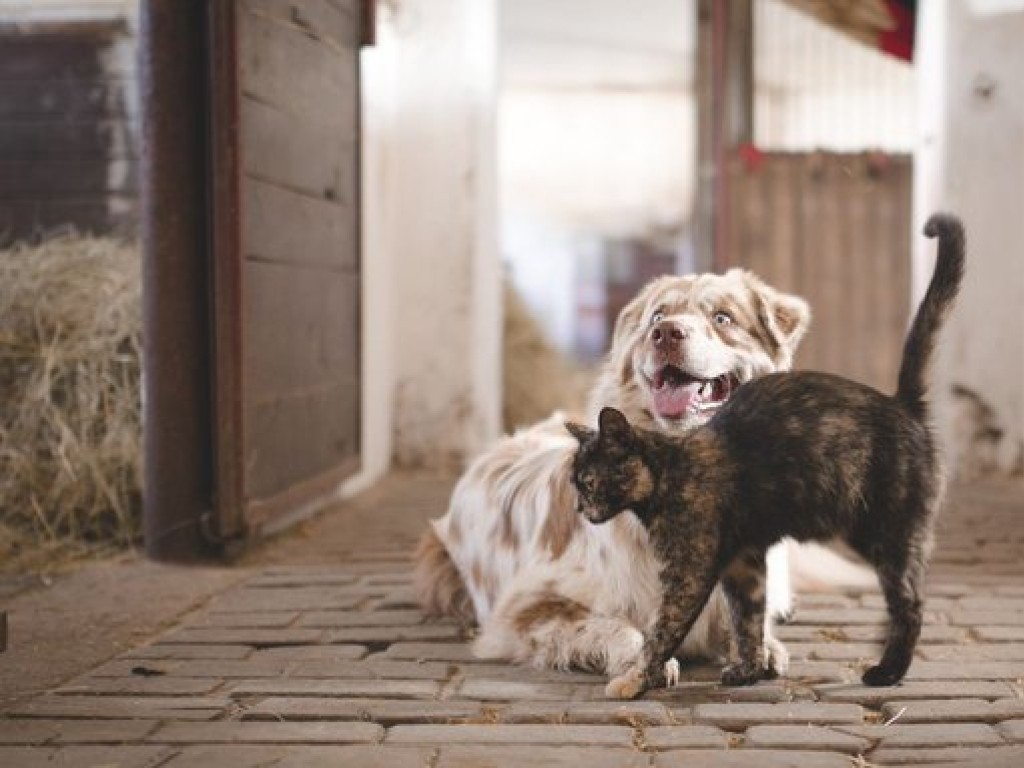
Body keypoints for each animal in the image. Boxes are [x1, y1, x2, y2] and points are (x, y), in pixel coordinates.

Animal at [413, 268, 815, 675]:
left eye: (723, 318)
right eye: (657, 316)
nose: (666, 333)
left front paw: (760, 647)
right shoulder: (524, 608)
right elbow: (617, 628)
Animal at [573, 214, 962, 700]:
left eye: (589, 481)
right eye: (656, 317)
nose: (580, 508)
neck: (671, 469)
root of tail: (902, 404)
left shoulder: (690, 572)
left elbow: (661, 631)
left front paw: (634, 680)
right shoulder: (744, 562)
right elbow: (748, 619)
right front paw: (749, 669)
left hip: (886, 533)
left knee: (910, 604)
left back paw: (886, 671)